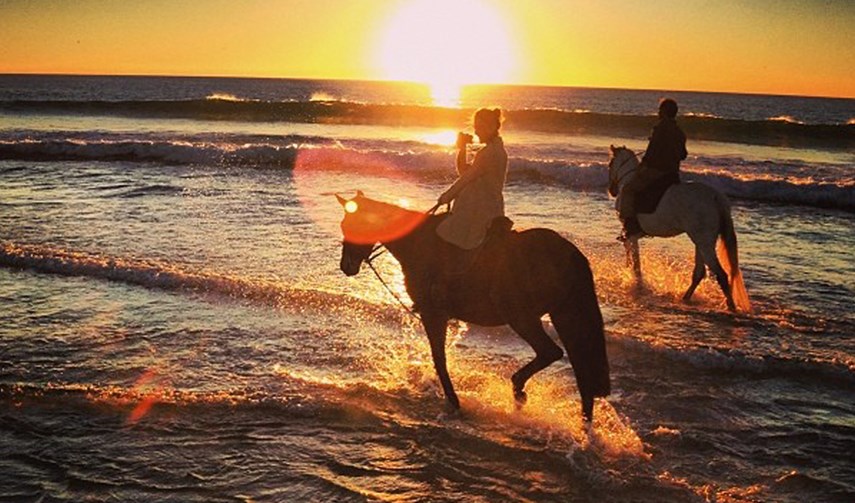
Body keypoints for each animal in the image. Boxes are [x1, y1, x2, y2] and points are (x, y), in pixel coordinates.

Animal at [334, 192, 608, 422]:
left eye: (353, 226)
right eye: (343, 226)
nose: (346, 266)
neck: (418, 243)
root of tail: (569, 253)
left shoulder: (434, 314)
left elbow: (439, 358)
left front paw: (453, 401)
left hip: (521, 315)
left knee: (552, 352)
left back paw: (519, 389)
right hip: (563, 314)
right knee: (580, 368)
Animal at [604, 144, 752, 314]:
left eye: (610, 164)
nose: (612, 190)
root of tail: (715, 197)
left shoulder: (631, 235)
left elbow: (635, 263)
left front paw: (637, 283)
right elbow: (631, 257)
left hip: (704, 243)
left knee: (721, 274)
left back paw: (731, 307)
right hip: (701, 242)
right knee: (699, 273)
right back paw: (685, 299)